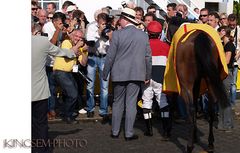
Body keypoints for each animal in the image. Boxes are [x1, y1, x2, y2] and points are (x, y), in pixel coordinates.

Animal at [163, 23, 229, 153]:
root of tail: (200, 37)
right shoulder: (198, 81)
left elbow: (173, 104)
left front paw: (168, 132)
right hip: (210, 80)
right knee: (211, 109)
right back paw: (210, 143)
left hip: (186, 84)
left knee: (191, 109)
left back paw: (189, 145)